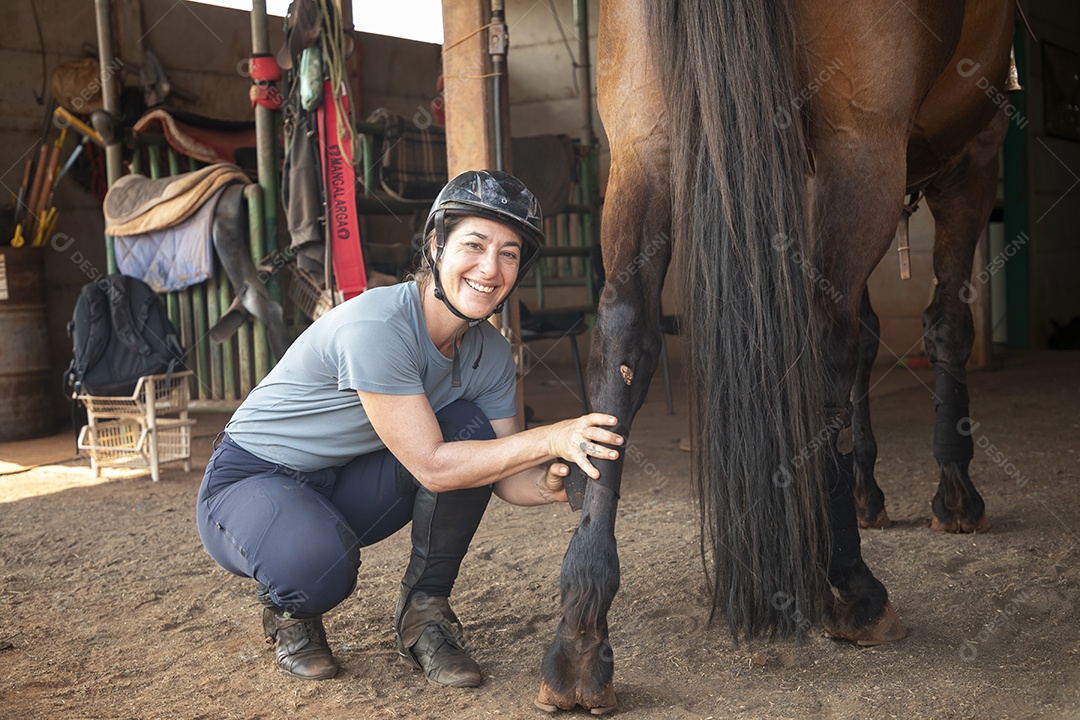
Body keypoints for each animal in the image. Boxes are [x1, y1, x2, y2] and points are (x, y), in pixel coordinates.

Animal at [535, 0, 1015, 712]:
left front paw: (869, 490)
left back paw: (580, 629)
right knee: (828, 341)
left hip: (642, 142)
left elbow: (871, 333)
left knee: (625, 331)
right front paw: (954, 493)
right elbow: (943, 327)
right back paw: (853, 587)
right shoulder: (976, 151)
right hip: (864, 146)